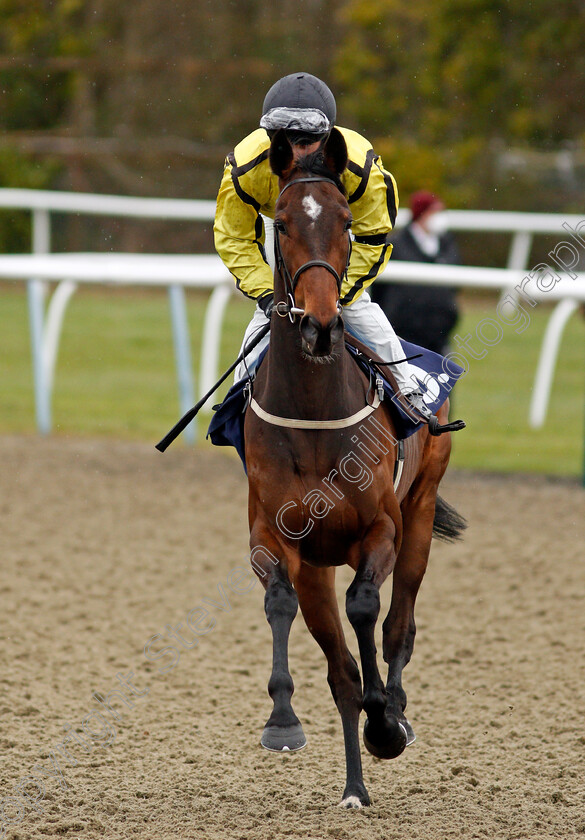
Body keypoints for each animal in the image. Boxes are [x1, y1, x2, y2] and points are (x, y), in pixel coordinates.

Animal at [243, 126, 466, 808]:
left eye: (346, 221)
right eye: (282, 221)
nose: (319, 325)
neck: (315, 410)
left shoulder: (381, 528)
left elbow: (367, 608)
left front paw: (385, 722)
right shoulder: (273, 535)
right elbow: (281, 604)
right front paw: (282, 721)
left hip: (420, 513)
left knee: (399, 626)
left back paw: (392, 711)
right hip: (319, 561)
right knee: (338, 664)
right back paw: (354, 787)